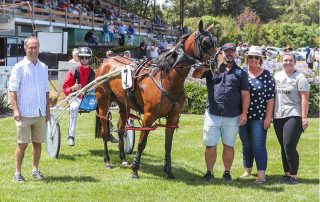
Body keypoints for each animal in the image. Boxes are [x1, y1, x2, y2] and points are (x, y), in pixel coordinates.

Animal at [94, 20, 216, 178]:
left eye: (215, 41)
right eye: (206, 42)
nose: (219, 62)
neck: (166, 79)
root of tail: (106, 61)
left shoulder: (173, 117)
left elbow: (168, 145)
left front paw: (169, 171)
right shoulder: (149, 116)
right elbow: (141, 143)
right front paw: (135, 170)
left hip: (123, 103)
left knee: (121, 129)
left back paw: (123, 158)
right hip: (103, 101)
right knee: (105, 130)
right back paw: (108, 160)